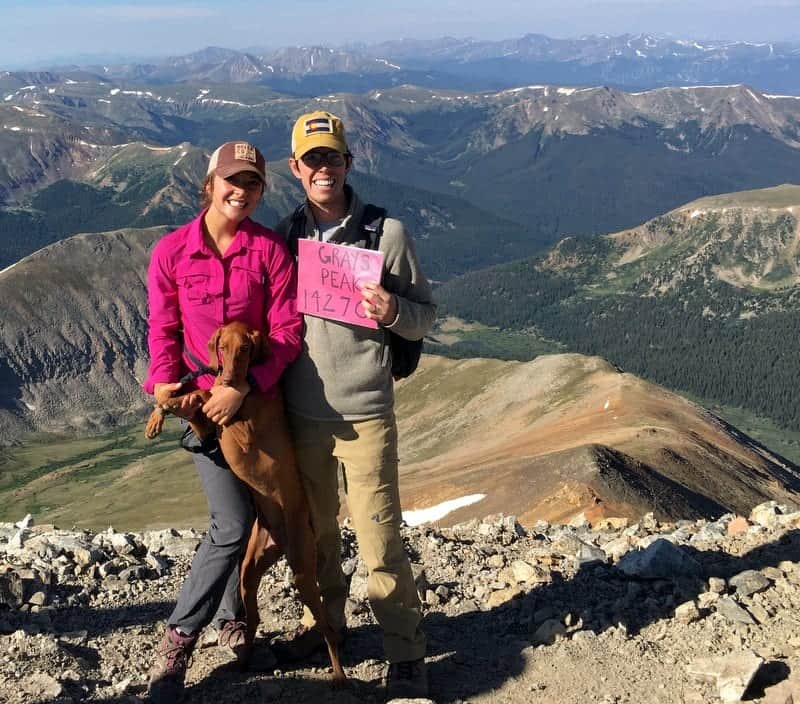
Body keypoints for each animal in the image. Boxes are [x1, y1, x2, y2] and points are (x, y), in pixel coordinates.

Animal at [145, 322, 346, 684]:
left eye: (246, 349)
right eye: (222, 347)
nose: (227, 378)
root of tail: (281, 539)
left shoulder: (240, 425)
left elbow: (206, 398)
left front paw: (185, 399)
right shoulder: (209, 429)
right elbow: (192, 404)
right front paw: (160, 412)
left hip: (303, 573)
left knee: (326, 627)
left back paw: (339, 676)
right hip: (248, 573)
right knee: (252, 620)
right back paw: (242, 662)